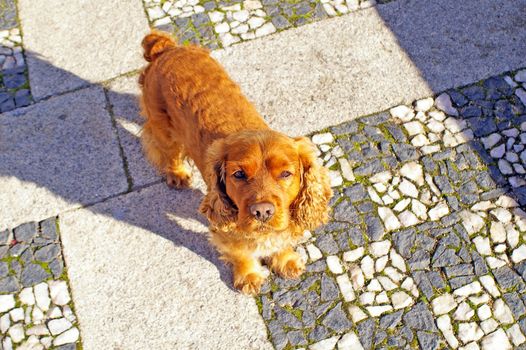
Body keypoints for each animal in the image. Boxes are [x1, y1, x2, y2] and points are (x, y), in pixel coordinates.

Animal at [138, 30, 332, 296]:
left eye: (286, 174)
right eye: (238, 174)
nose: (262, 211)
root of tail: (165, 48)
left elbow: (280, 239)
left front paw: (285, 260)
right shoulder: (225, 225)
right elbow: (240, 252)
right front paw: (248, 276)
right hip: (163, 128)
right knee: (168, 151)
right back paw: (177, 173)